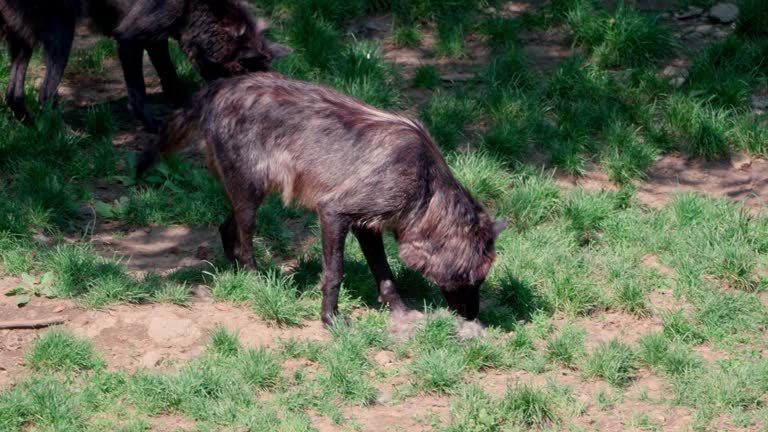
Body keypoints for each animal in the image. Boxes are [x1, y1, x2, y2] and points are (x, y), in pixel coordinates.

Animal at [0, 0, 291, 131]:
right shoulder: (129, 39)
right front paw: (153, 127)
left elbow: (171, 78)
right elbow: (138, 93)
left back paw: (32, 127)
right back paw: (67, 136)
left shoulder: (157, 39)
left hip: (24, 43)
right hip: (63, 33)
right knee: (45, 94)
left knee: (13, 94)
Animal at [137, 72, 506, 326]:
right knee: (244, 241)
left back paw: (235, 271)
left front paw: (400, 311)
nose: (473, 318)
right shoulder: (333, 213)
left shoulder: (367, 228)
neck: (426, 187)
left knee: (226, 229)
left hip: (250, 194)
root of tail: (218, 87)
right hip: (251, 200)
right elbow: (334, 274)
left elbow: (385, 274)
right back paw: (254, 279)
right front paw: (330, 321)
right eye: (475, 280)